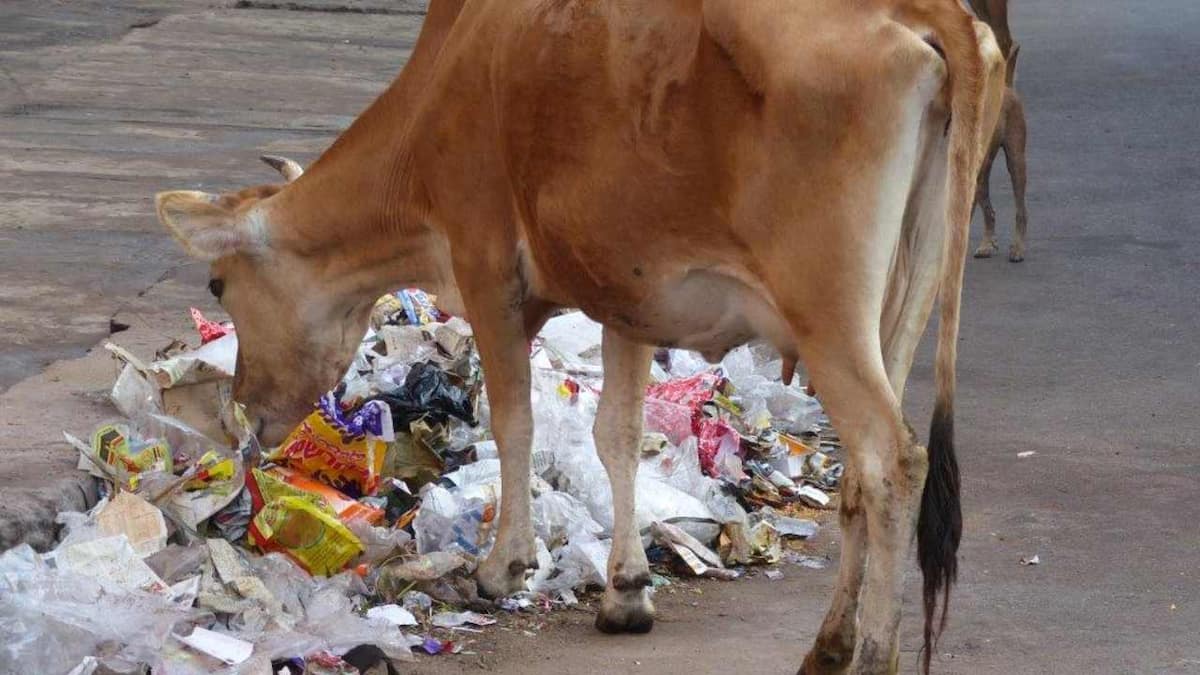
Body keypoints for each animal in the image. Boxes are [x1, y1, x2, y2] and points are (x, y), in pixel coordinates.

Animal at [154, 1, 1005, 672]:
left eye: (217, 285)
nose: (242, 408)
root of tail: (931, 12)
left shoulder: (486, 263)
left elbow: (515, 423)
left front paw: (505, 567)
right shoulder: (626, 289)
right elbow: (617, 434)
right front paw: (626, 590)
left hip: (825, 308)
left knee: (892, 459)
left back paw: (872, 653)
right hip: (905, 295)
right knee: (863, 473)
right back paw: (828, 644)